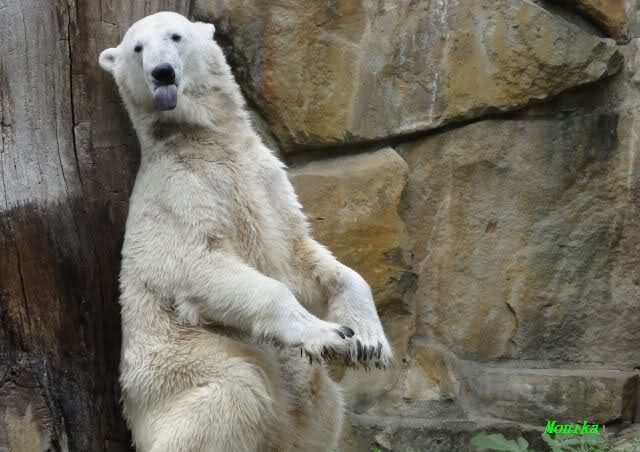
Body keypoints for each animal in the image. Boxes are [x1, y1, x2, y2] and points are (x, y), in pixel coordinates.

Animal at [99, 11, 392, 452]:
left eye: (175, 36)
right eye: (137, 48)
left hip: (299, 397)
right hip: (179, 362)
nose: (162, 72)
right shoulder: (179, 192)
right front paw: (329, 333)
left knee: (323, 411)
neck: (207, 141)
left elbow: (303, 252)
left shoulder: (267, 181)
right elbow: (197, 262)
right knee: (234, 391)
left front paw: (367, 339)